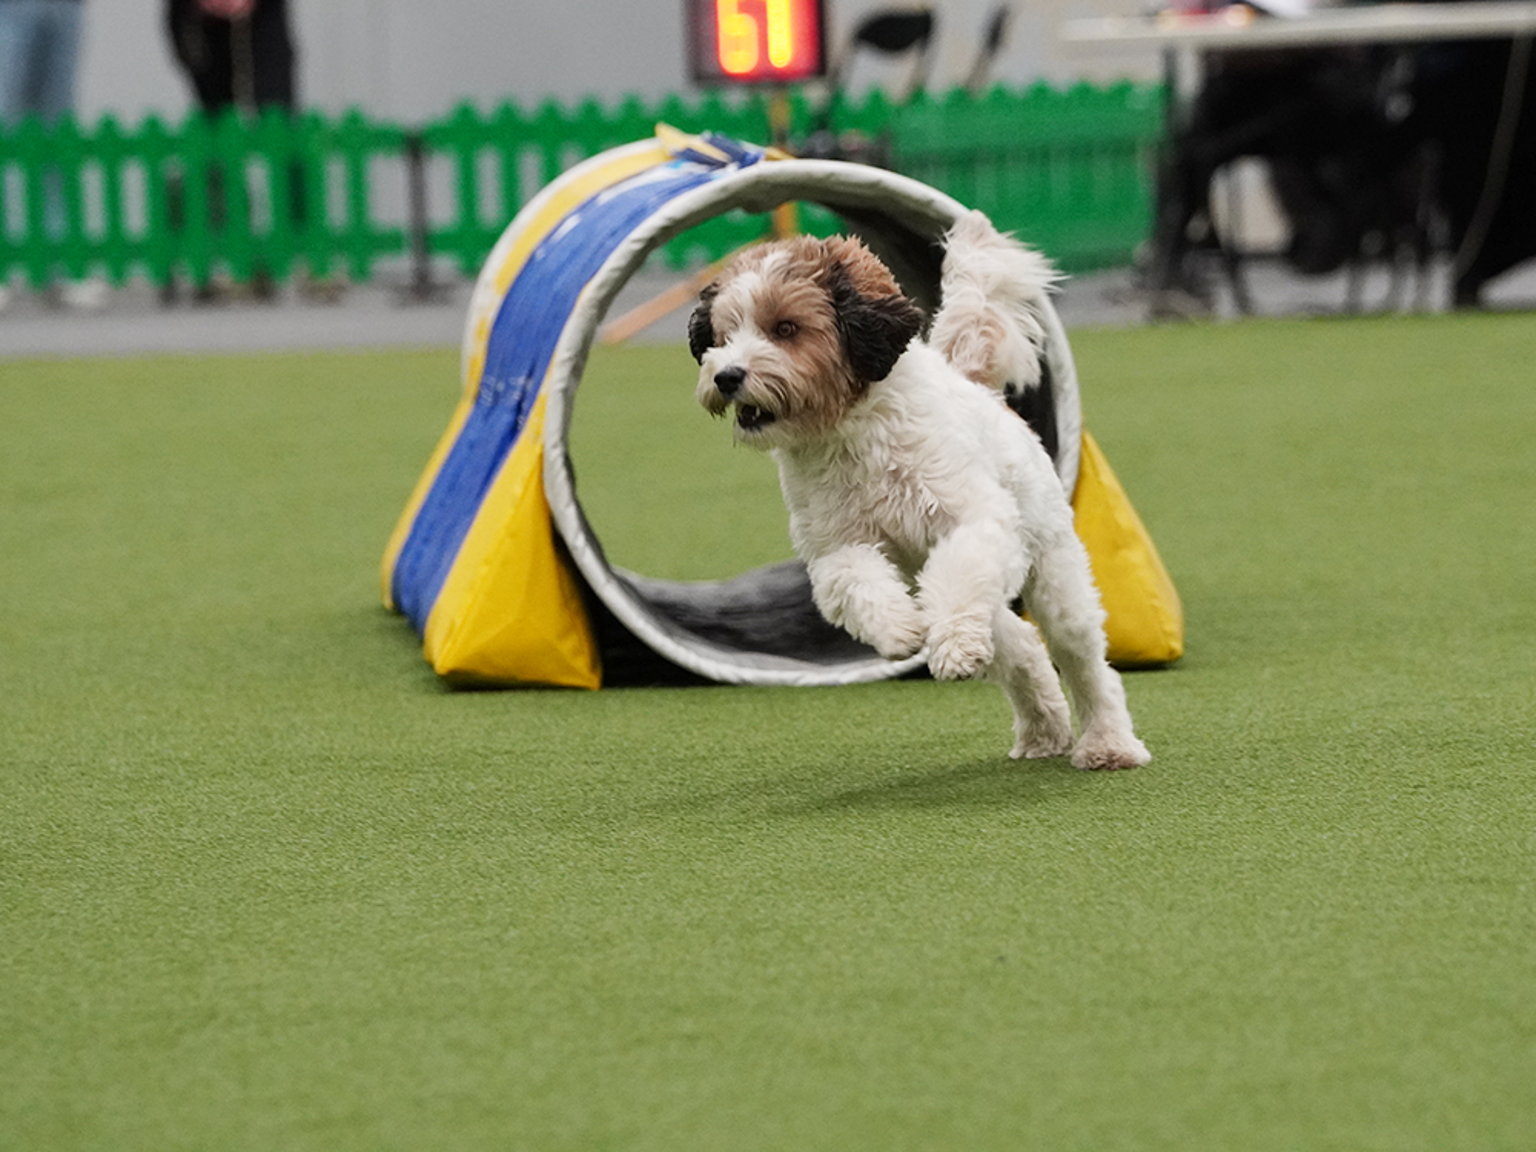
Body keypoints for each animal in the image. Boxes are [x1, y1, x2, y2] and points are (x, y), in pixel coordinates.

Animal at [691, 211, 1148, 771]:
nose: (727, 375)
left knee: (1085, 663)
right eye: (723, 334)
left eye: (786, 328)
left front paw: (948, 647)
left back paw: (1108, 744)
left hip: (1055, 578)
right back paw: (1043, 731)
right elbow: (855, 584)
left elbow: (958, 572)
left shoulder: (974, 523)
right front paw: (903, 631)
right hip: (994, 602)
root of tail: (983, 390)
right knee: (1020, 645)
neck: (853, 433)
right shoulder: (837, 547)